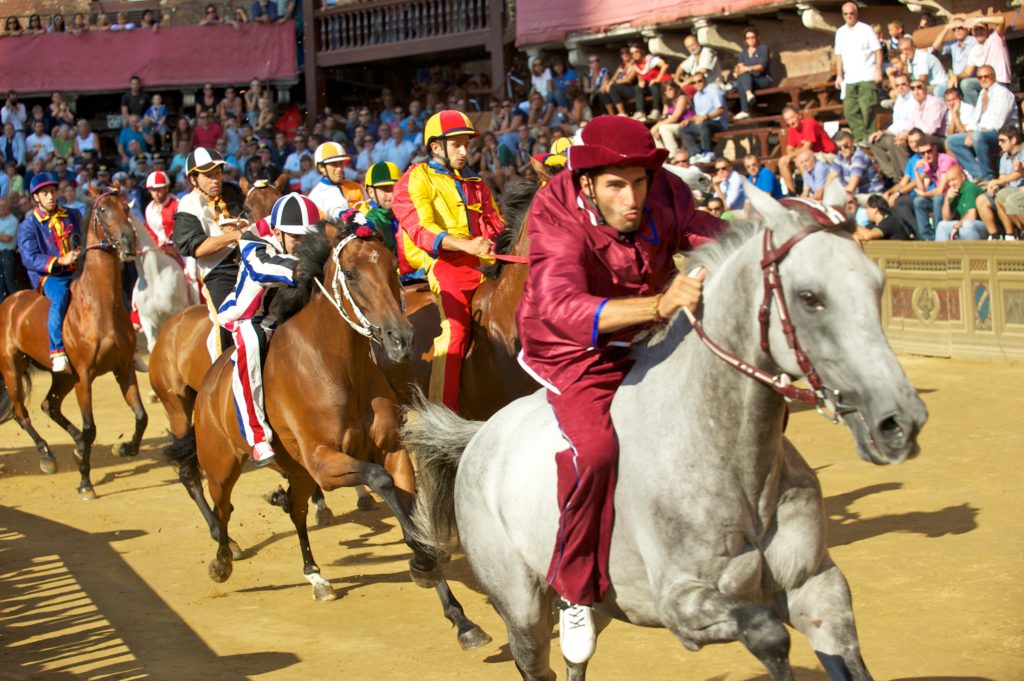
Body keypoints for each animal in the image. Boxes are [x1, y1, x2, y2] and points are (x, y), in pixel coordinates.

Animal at [0, 188, 146, 497]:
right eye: (103, 209)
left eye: (126, 208)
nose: (129, 240)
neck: (100, 306)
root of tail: (10, 301)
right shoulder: (85, 375)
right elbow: (90, 427)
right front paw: (85, 482)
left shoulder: (123, 368)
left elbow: (141, 416)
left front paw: (123, 447)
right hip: (13, 370)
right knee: (22, 414)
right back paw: (47, 455)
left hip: (63, 376)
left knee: (49, 406)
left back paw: (77, 446)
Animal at [190, 222, 489, 647]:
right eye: (350, 274)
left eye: (392, 266)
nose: (400, 337)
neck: (336, 366)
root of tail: (208, 383)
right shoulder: (325, 462)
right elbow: (379, 481)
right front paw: (423, 561)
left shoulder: (389, 451)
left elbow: (406, 504)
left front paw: (457, 613)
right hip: (222, 465)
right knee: (224, 509)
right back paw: (222, 562)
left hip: (297, 470)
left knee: (296, 510)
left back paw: (316, 577)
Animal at [405, 182, 929, 679]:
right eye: (809, 296)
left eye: (877, 285)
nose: (899, 421)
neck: (730, 459)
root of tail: (478, 437)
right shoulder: (680, 602)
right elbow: (769, 636)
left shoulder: (816, 585)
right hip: (520, 604)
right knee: (535, 662)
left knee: (576, 658)